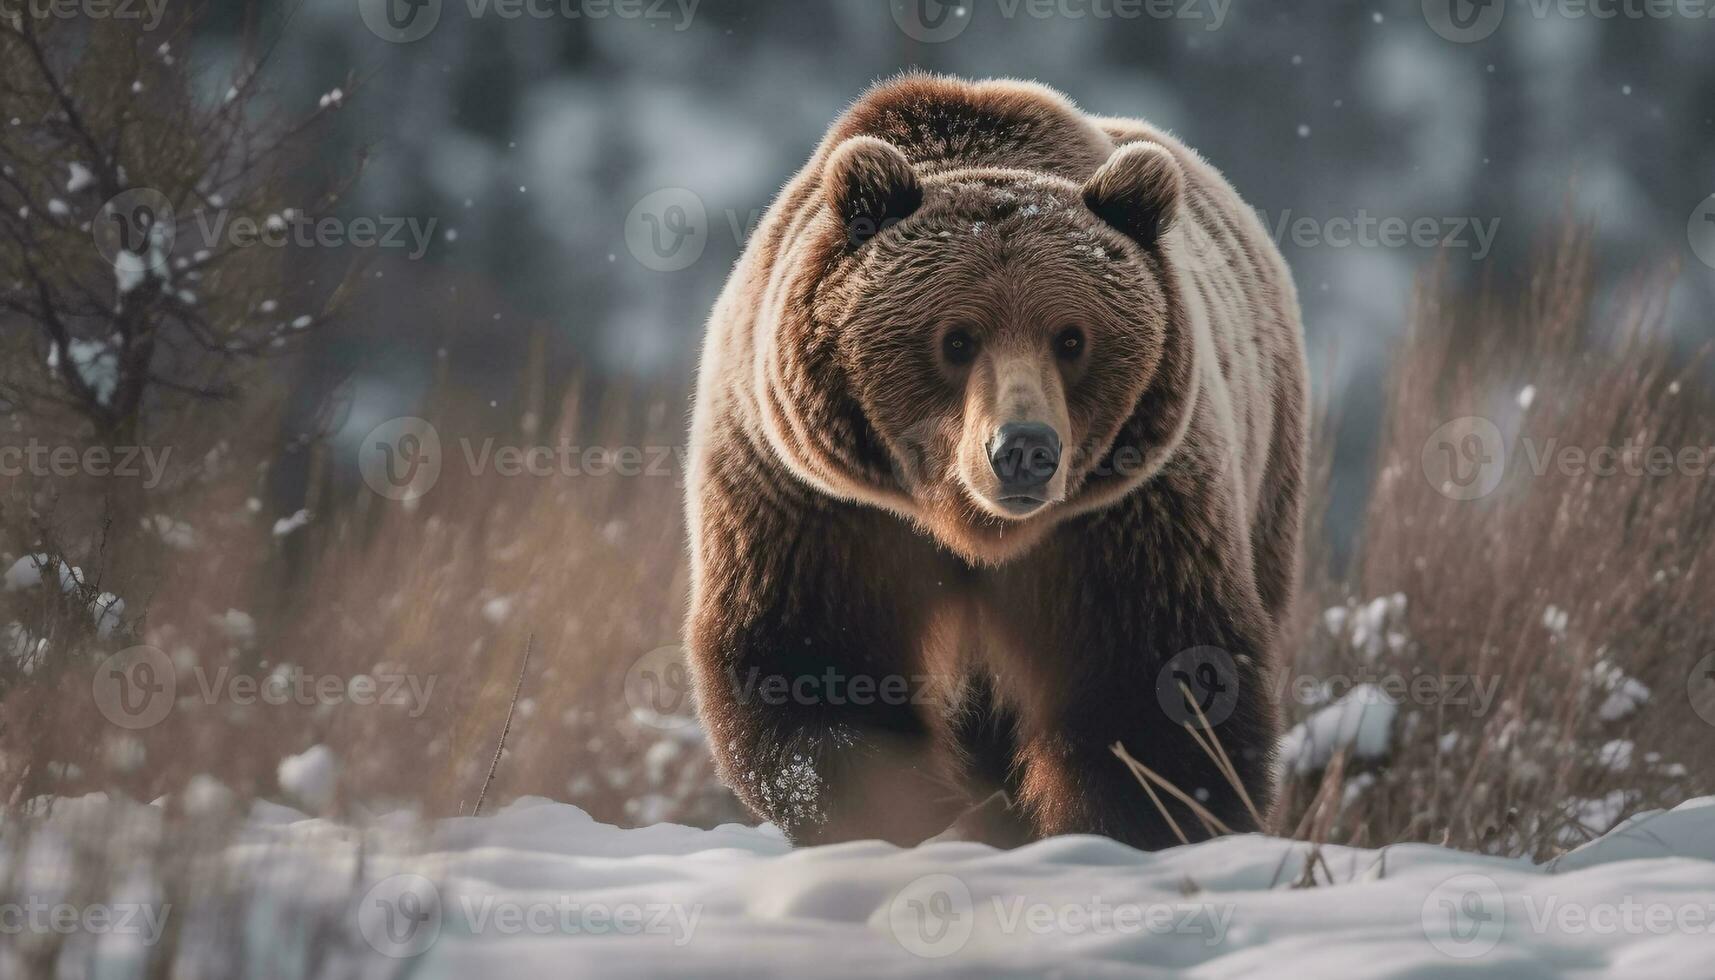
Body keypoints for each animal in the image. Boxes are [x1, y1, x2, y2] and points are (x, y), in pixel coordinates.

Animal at [682, 72, 1296, 851]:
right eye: (956, 338)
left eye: (1072, 337)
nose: (1024, 450)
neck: (967, 523)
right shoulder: (816, 502)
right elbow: (815, 663)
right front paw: (907, 809)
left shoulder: (1128, 517)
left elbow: (1155, 682)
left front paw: (1140, 823)